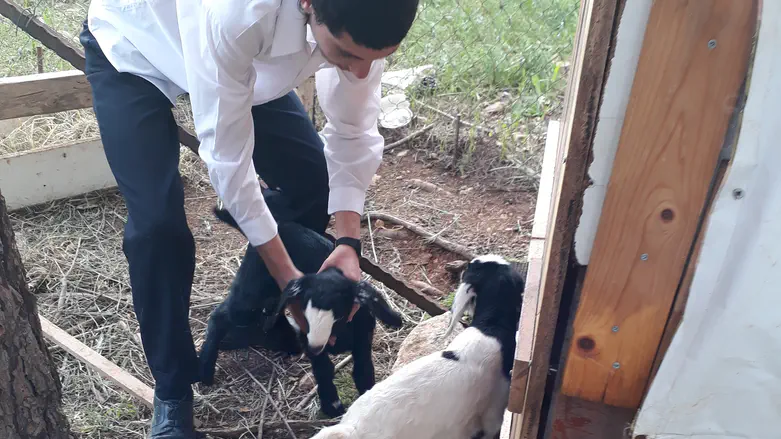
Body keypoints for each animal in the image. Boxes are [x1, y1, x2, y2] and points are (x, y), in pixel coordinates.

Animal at [198, 207, 404, 417]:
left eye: (339, 316)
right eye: (305, 314)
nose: (314, 347)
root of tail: (279, 225)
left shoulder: (363, 337)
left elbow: (363, 371)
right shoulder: (310, 339)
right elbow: (324, 370)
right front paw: (332, 405)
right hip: (251, 284)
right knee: (222, 315)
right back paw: (205, 369)